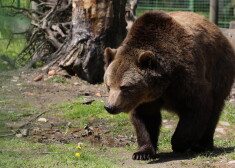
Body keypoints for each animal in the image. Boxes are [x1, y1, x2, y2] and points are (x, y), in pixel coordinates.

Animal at [103, 10, 235, 160]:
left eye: (124, 87)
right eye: (108, 86)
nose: (110, 107)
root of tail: (218, 31)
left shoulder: (186, 79)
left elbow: (197, 106)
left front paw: (178, 143)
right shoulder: (145, 100)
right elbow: (145, 119)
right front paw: (142, 152)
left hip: (219, 70)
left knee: (214, 111)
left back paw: (201, 145)